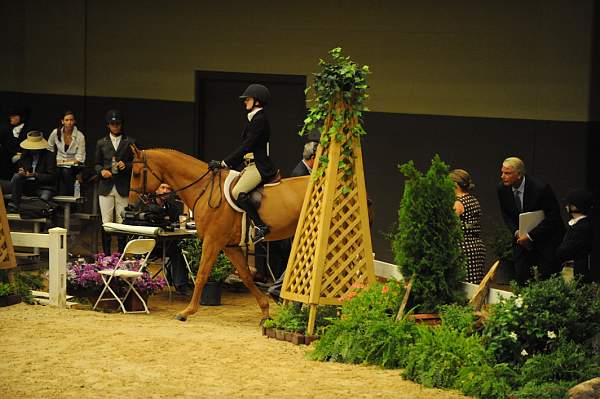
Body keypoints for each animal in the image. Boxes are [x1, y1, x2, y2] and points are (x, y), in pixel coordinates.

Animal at [126, 146, 304, 322]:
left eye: (136, 173)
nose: (130, 207)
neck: (204, 189)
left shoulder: (212, 241)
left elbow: (201, 274)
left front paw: (187, 311)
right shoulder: (229, 246)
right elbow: (246, 276)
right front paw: (265, 312)